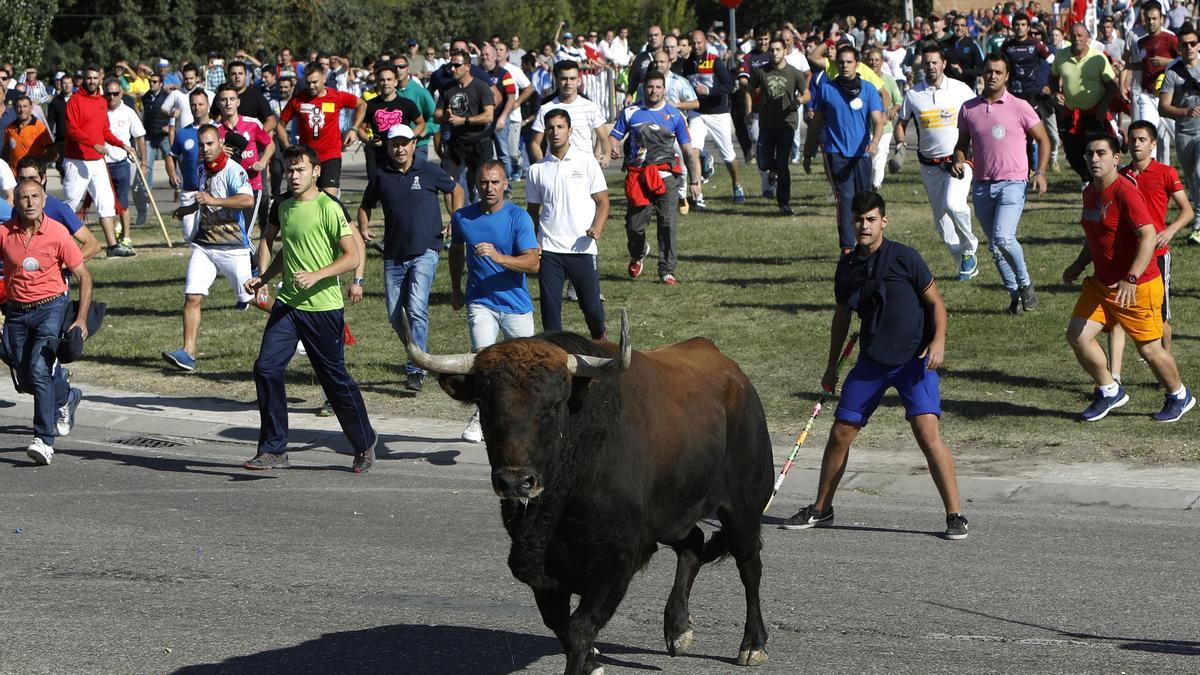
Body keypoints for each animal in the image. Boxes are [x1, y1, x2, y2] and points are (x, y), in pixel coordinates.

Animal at [403, 309, 772, 672]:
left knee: (749, 566)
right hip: (671, 514)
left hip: (743, 507)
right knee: (693, 544)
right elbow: (561, 625)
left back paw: (752, 644)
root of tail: (732, 372)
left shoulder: (615, 561)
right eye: (485, 403)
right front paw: (593, 661)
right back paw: (678, 629)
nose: (516, 481)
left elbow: (579, 629)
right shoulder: (543, 570)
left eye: (554, 404)